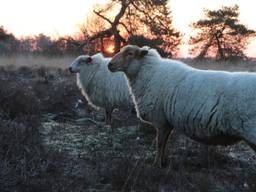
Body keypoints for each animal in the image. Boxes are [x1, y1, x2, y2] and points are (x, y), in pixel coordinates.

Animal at [108, 44, 256, 166]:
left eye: (130, 53)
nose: (109, 65)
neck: (149, 74)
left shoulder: (160, 120)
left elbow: (159, 144)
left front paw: (156, 165)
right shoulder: (167, 122)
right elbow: (165, 143)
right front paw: (163, 162)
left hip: (251, 130)